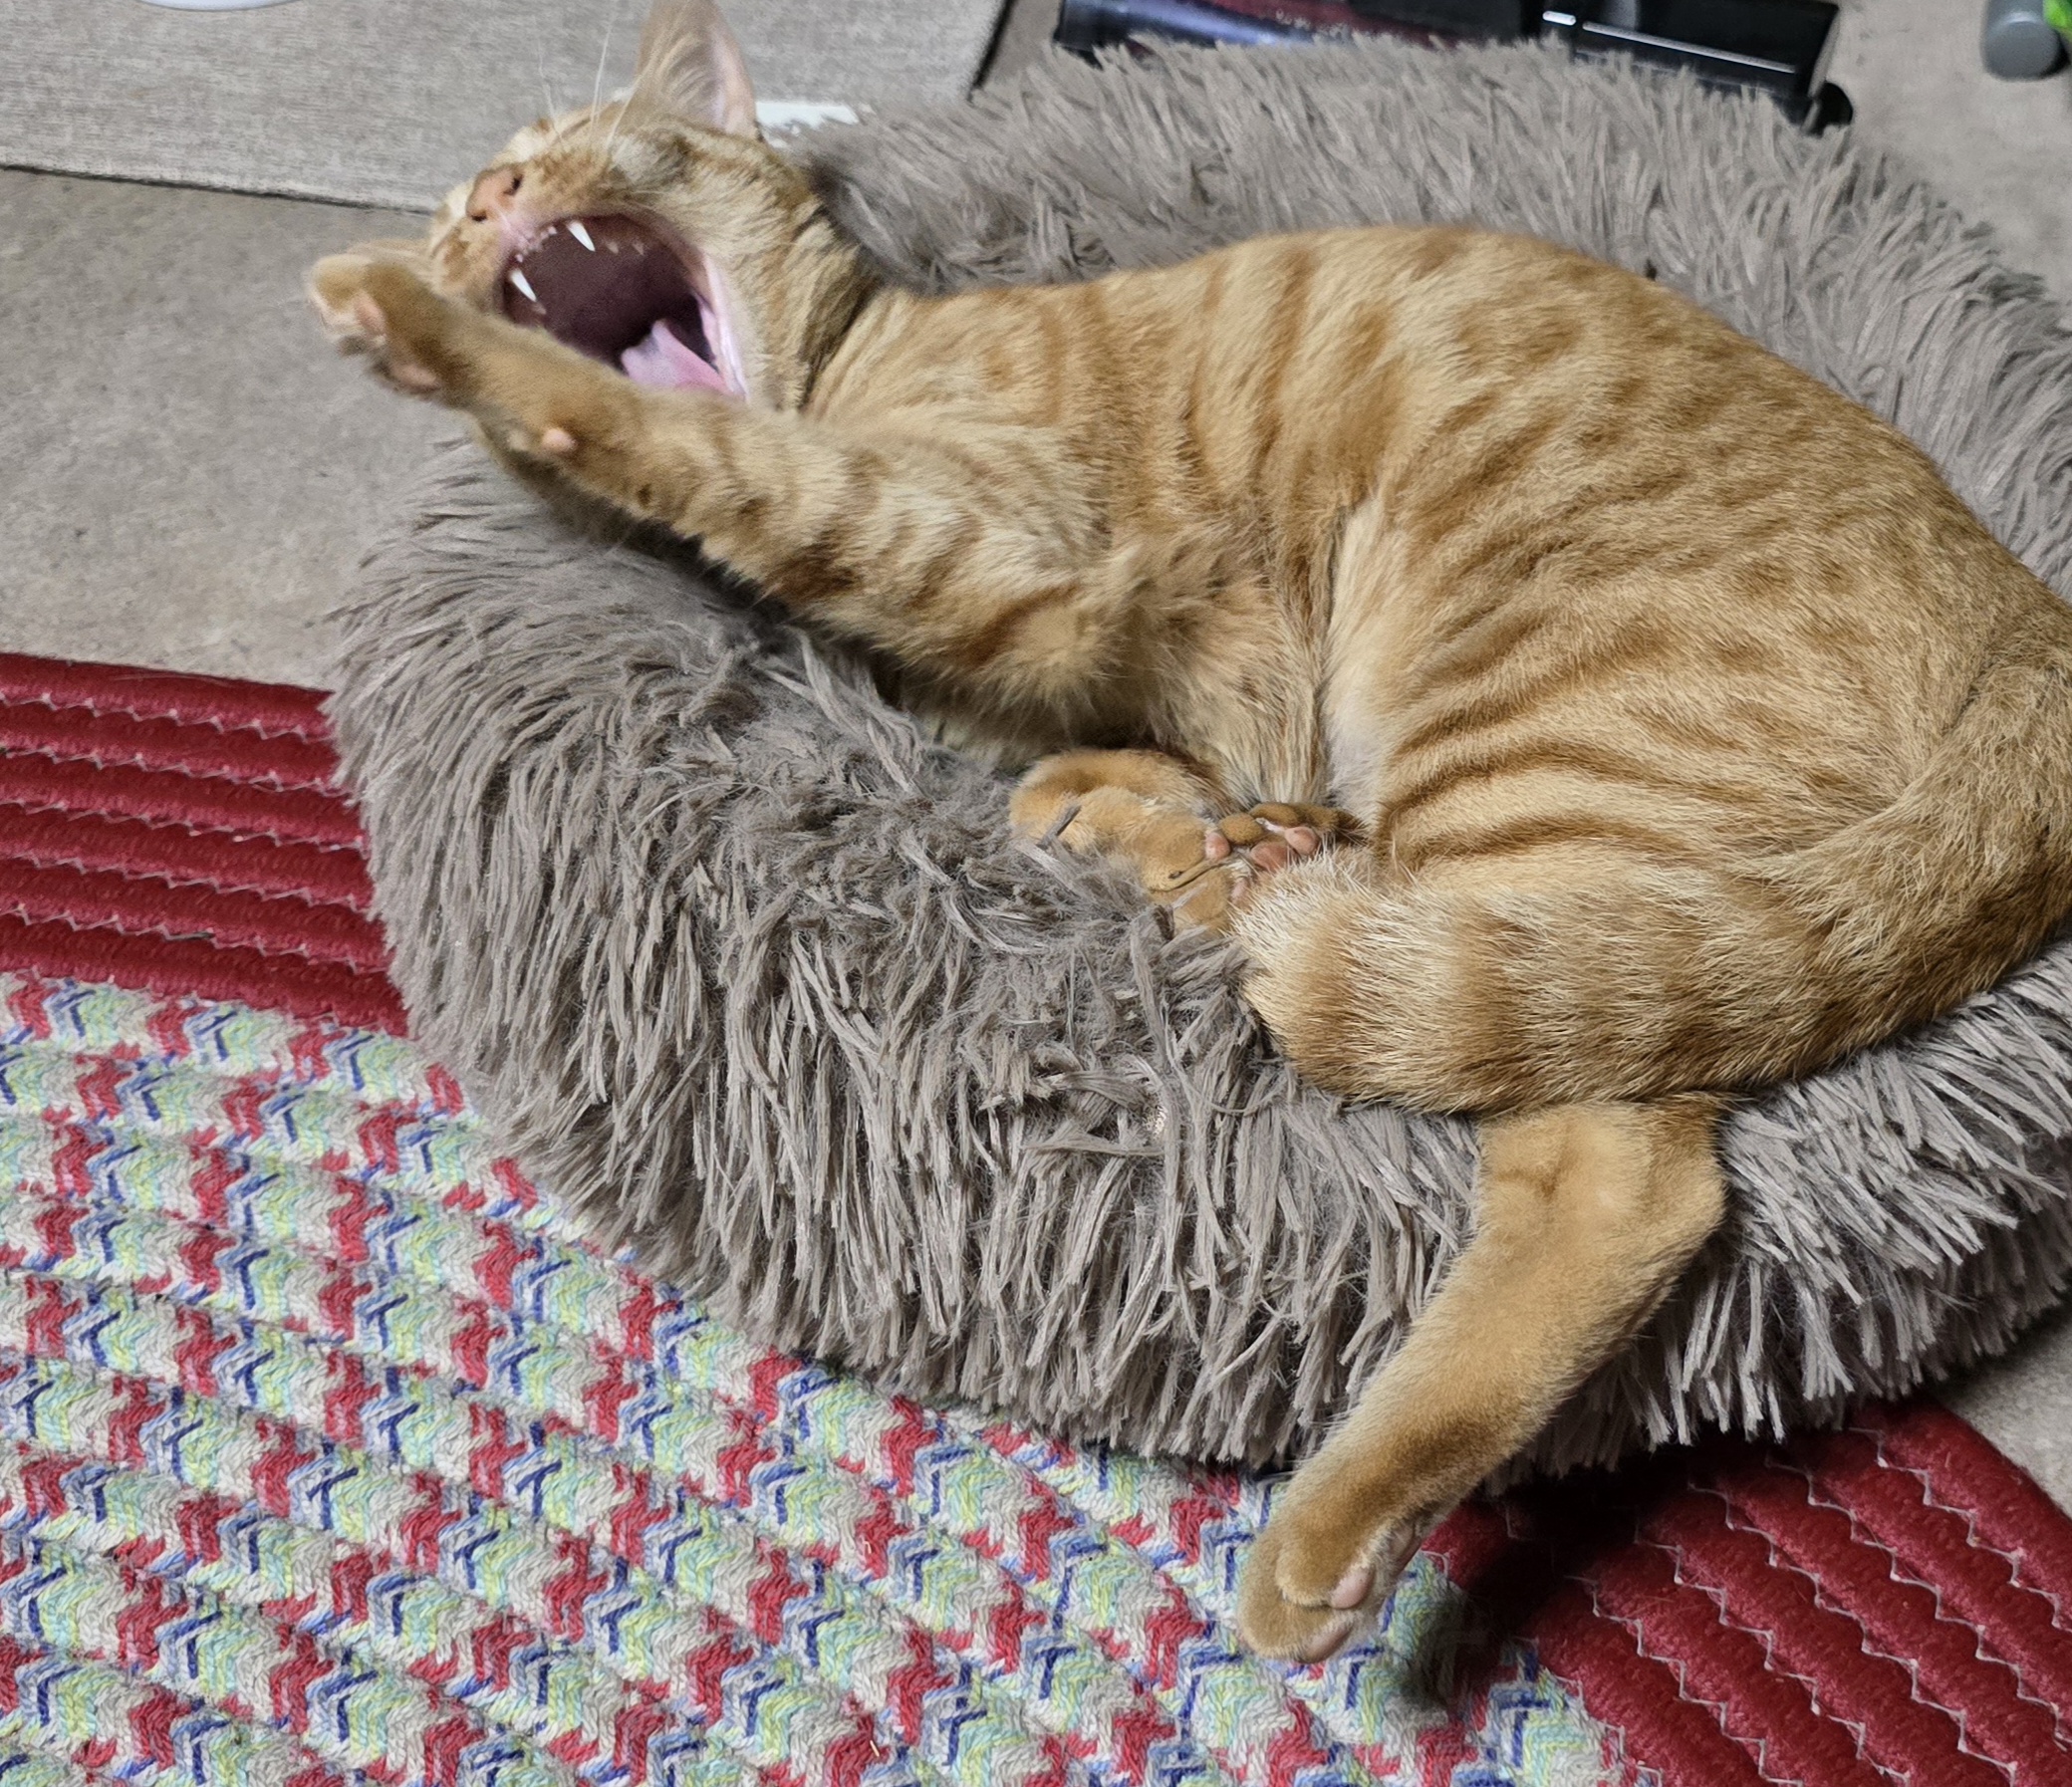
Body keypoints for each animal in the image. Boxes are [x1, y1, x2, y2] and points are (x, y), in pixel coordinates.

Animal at [311, 0, 2072, 1662]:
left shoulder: (979, 538)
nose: (490, 202)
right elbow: (1077, 759)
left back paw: (1335, 1518)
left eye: (566, 147)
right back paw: (1223, 862)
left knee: (1618, 1168)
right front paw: (1148, 806)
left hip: (1518, 746)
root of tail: (2033, 624)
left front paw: (414, 324)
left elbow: (695, 446)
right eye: (469, 200)